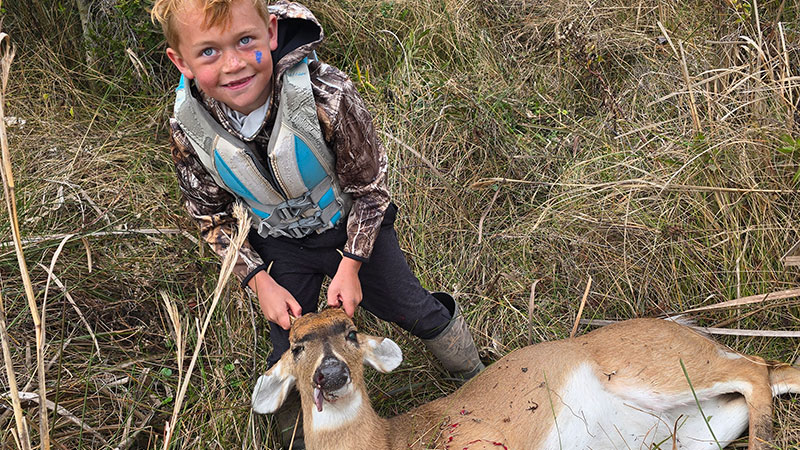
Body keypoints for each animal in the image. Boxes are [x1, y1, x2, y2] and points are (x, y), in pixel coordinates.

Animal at [252, 308, 800, 450]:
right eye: (296, 345)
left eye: (350, 330)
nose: (332, 373)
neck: (391, 442)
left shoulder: (477, 442)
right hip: (691, 432)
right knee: (762, 381)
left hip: (659, 367)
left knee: (756, 369)